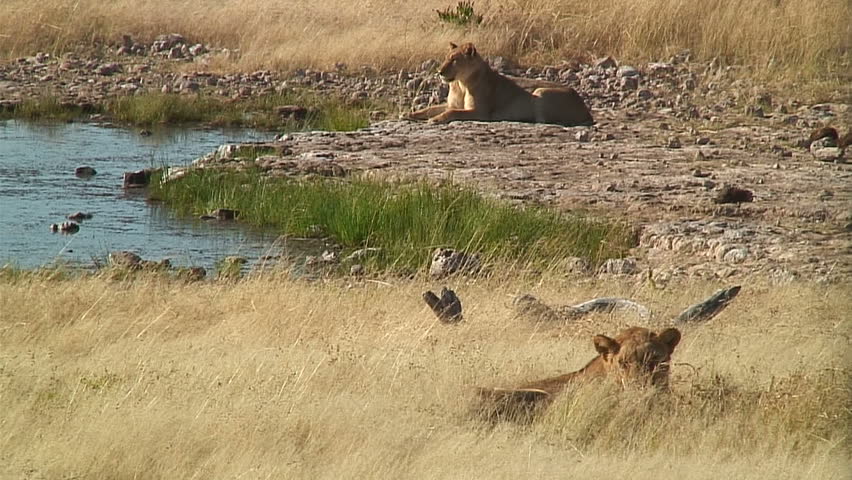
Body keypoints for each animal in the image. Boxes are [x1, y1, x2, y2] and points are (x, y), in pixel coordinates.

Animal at [407, 42, 594, 126]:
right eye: (446, 58)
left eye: (454, 60)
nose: (439, 71)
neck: (460, 84)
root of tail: (585, 108)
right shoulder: (450, 103)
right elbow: (430, 108)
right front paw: (409, 115)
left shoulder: (480, 112)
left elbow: (451, 112)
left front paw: (435, 119)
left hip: (540, 92)